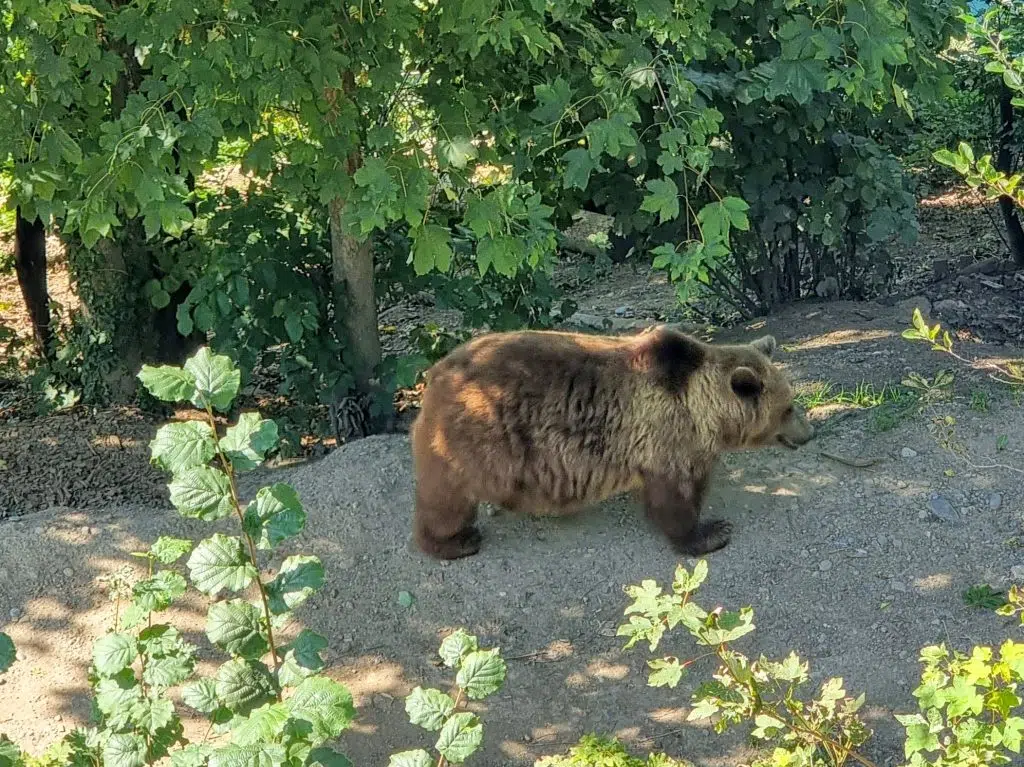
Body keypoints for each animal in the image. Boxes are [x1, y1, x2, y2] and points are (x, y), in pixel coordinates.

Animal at [409, 324, 814, 560]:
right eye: (788, 408)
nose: (809, 434)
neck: (702, 408)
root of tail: (434, 376)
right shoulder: (665, 435)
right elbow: (674, 500)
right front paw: (711, 533)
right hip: (476, 438)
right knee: (447, 499)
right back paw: (455, 542)